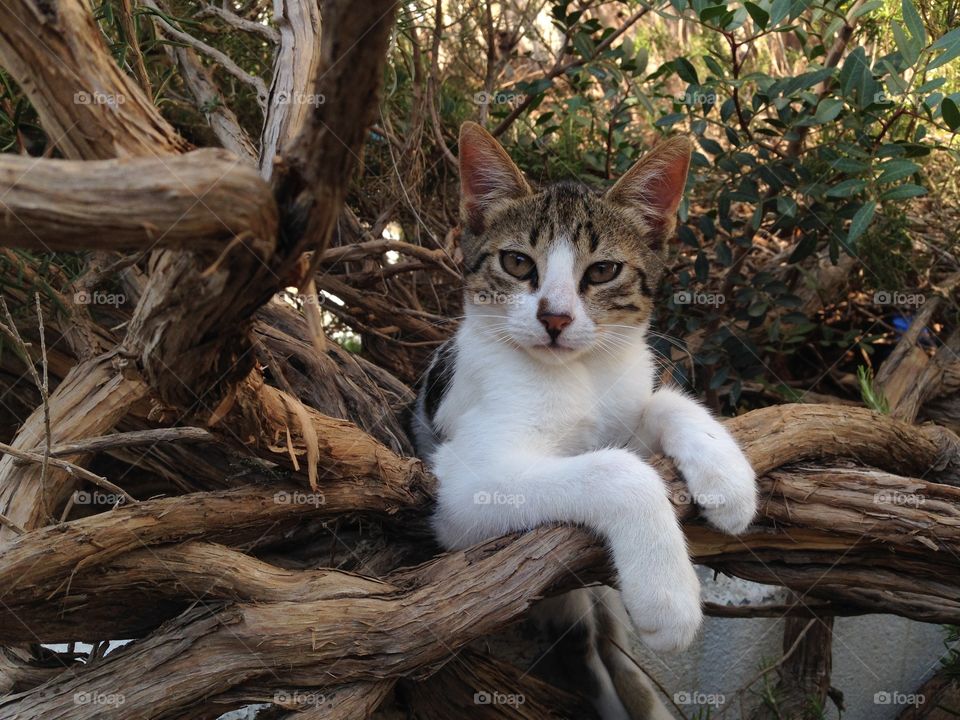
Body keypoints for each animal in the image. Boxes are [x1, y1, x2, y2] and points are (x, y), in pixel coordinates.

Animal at [408, 121, 760, 716]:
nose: (555, 317)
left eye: (603, 271)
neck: (581, 374)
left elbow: (661, 403)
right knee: (583, 647)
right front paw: (667, 597)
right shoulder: (463, 487)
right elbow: (617, 468)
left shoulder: (625, 399)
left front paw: (728, 478)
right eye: (518, 263)